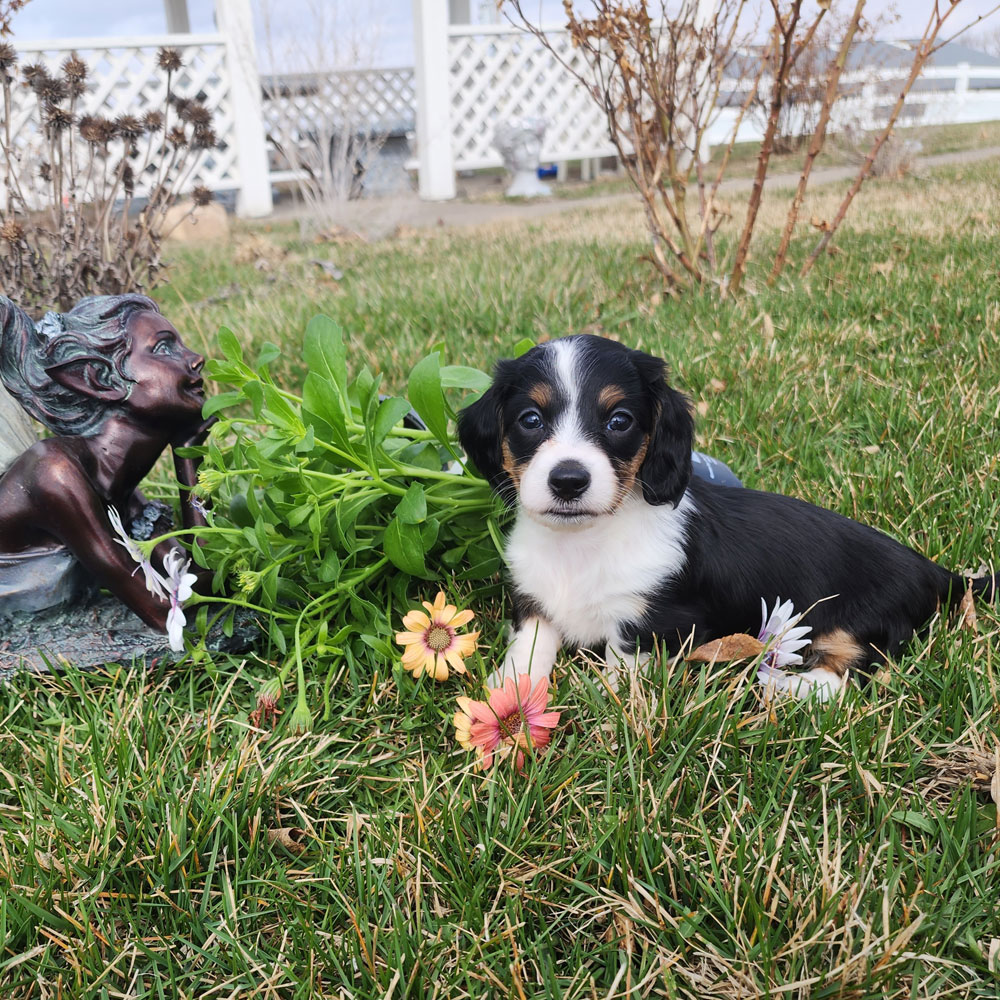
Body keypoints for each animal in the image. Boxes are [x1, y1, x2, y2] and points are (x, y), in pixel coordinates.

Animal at [458, 332, 996, 700]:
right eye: (530, 419)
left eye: (619, 421)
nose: (568, 481)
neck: (582, 543)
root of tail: (933, 570)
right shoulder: (535, 600)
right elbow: (530, 645)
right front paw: (508, 692)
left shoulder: (652, 622)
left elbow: (622, 668)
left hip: (860, 619)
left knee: (846, 671)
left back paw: (783, 687)